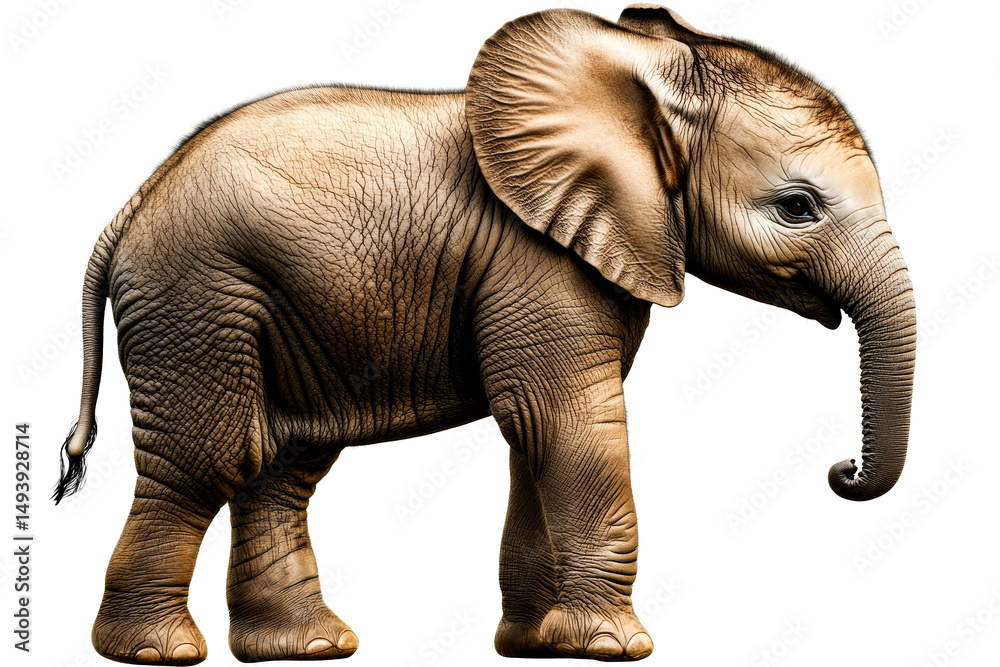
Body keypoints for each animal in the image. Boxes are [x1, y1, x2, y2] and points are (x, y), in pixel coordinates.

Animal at [54, 4, 916, 664]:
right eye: (797, 206)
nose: (842, 470)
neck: (639, 69)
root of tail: (127, 209)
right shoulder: (535, 257)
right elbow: (567, 420)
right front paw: (614, 648)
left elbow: (534, 432)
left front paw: (538, 646)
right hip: (198, 300)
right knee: (212, 457)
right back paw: (158, 652)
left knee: (284, 464)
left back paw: (309, 648)